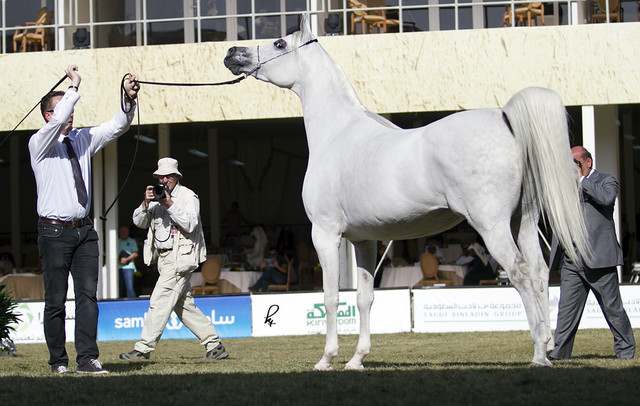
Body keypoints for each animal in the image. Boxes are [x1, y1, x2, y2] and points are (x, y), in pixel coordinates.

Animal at [224, 15, 591, 370]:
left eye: (279, 43)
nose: (232, 53)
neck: (337, 134)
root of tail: (506, 119)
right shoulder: (364, 240)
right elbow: (364, 298)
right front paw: (357, 359)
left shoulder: (325, 233)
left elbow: (330, 297)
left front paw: (327, 358)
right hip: (523, 222)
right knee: (540, 273)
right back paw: (548, 344)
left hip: (493, 226)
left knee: (520, 273)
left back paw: (539, 353)